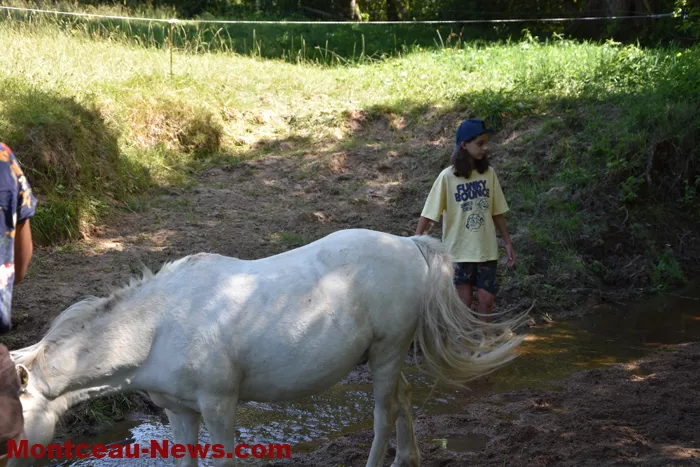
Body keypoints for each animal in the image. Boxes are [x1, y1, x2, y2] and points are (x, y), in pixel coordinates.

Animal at [8, 228, 527, 467]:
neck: (158, 327)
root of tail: (408, 243)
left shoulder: (219, 406)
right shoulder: (179, 411)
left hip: (387, 352)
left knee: (384, 411)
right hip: (388, 356)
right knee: (404, 397)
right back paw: (408, 458)